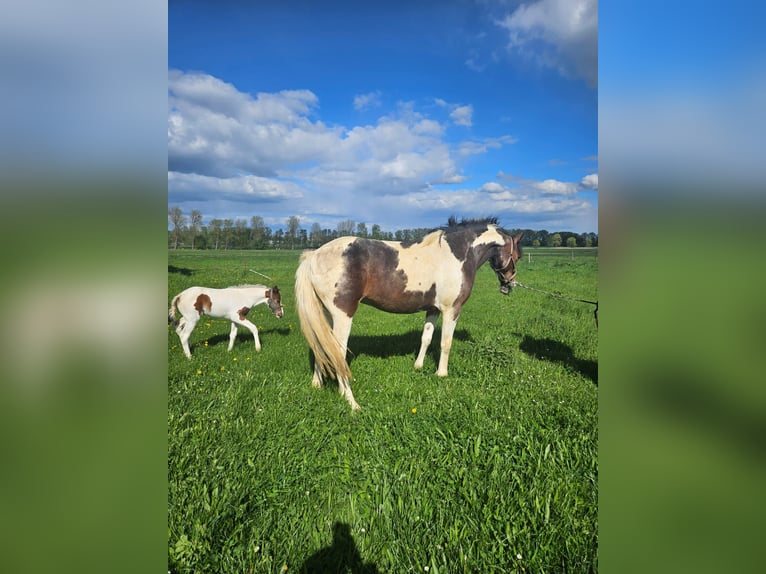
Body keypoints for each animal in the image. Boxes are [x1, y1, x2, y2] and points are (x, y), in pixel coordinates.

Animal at [296, 218, 524, 412]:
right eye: (517, 256)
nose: (508, 285)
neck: (458, 253)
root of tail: (314, 255)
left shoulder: (433, 309)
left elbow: (427, 337)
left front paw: (418, 366)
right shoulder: (452, 309)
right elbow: (446, 343)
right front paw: (442, 374)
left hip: (325, 315)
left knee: (322, 345)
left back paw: (317, 384)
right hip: (343, 315)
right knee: (337, 352)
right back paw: (351, 401)